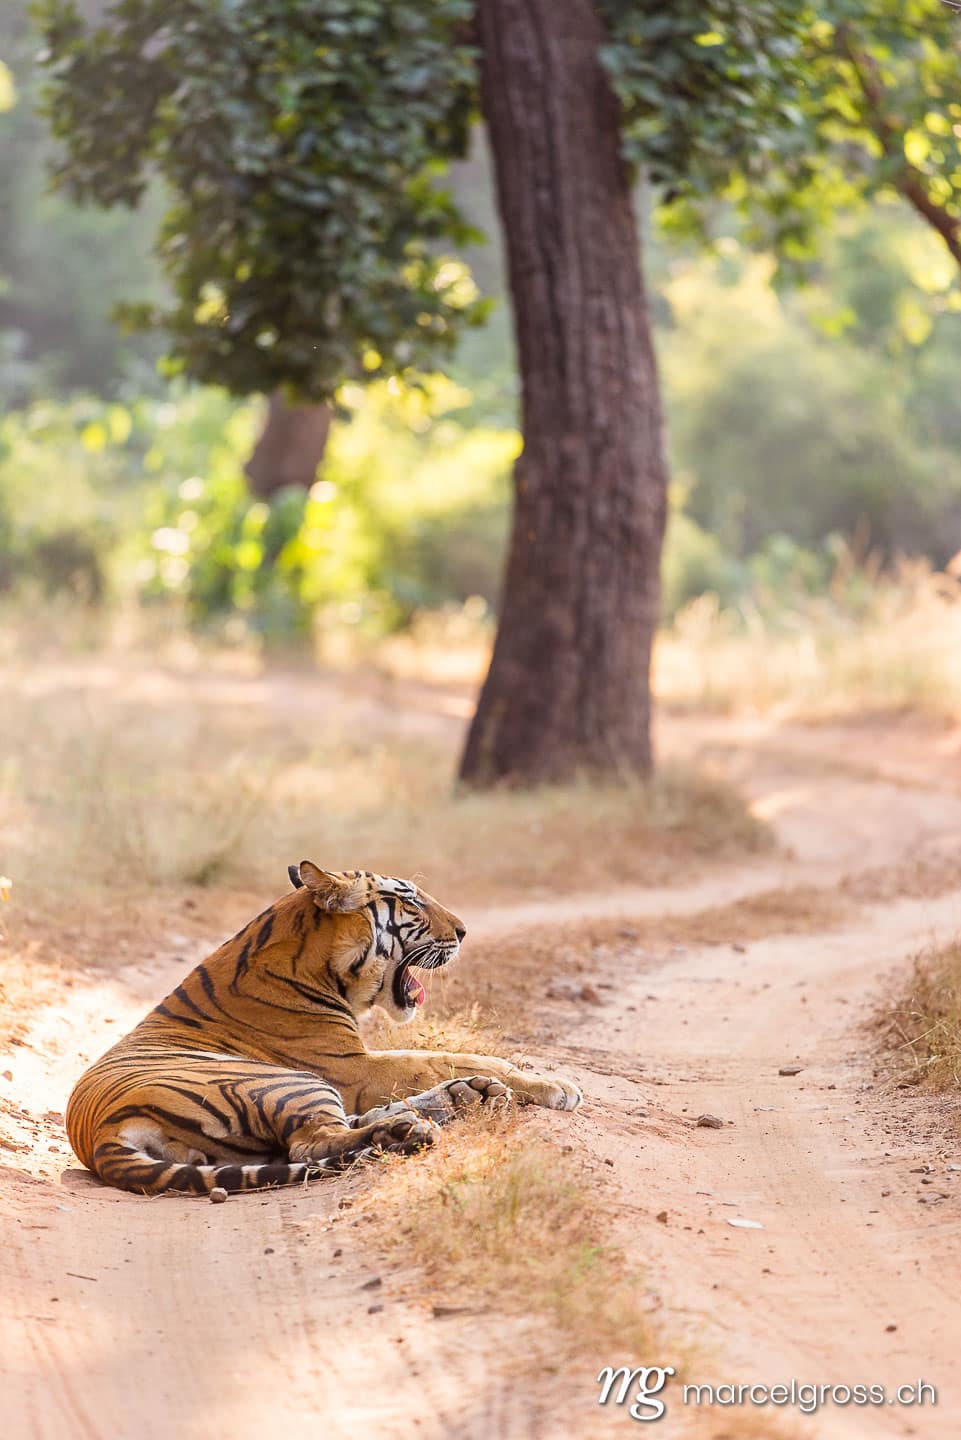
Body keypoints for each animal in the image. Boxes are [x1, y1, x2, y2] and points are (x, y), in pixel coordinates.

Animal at [65, 861, 582, 1196]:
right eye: (411, 902)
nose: (463, 931)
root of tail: (100, 1135)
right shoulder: (352, 1067)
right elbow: (449, 1056)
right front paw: (557, 1086)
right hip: (285, 1081)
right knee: (313, 1143)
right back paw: (413, 1127)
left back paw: (462, 1097)